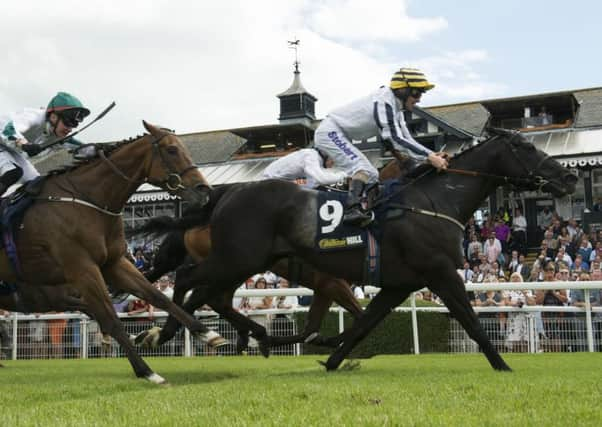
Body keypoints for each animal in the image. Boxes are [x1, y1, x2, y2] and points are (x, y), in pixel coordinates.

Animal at [0, 121, 224, 384]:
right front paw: (147, 371)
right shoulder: (83, 269)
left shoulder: (114, 263)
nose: (204, 190)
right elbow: (111, 318)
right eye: (171, 150)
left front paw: (207, 334)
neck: (88, 203)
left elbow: (158, 297)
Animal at [138, 130, 576, 372]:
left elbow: (364, 323)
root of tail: (226, 194)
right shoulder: (439, 273)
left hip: (243, 262)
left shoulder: (398, 284)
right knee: (189, 280)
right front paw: (502, 364)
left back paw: (233, 334)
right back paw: (172, 331)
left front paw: (332, 358)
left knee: (210, 293)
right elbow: (470, 320)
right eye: (525, 147)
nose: (567, 176)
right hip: (237, 258)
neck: (431, 201)